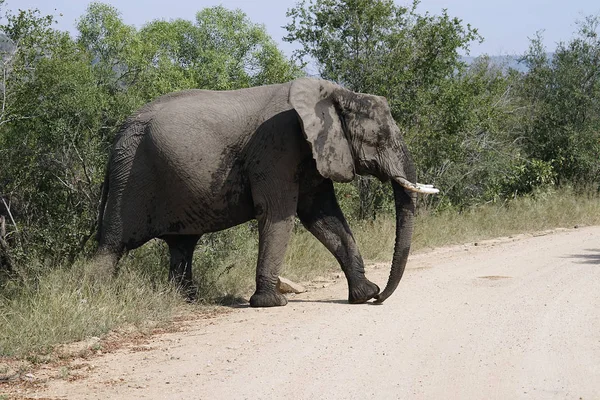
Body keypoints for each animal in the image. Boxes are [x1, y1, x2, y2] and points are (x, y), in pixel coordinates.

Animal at [96, 76, 438, 308]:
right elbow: (279, 214)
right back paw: (97, 295)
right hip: (132, 175)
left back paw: (185, 300)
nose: (381, 298)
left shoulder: (312, 153)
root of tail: (119, 133)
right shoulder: (278, 145)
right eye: (379, 140)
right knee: (112, 245)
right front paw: (271, 303)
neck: (337, 94)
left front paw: (364, 294)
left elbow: (324, 217)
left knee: (182, 245)